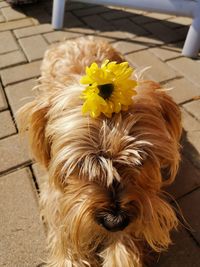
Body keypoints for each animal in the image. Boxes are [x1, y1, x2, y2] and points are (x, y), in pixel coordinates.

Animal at [18, 36, 182, 266]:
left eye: (141, 160)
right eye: (79, 164)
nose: (115, 221)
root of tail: (78, 38)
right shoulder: (59, 203)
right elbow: (65, 235)